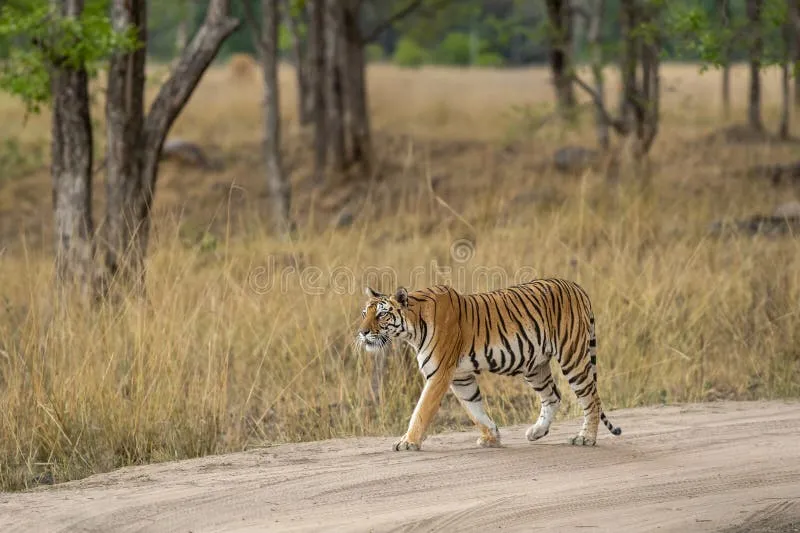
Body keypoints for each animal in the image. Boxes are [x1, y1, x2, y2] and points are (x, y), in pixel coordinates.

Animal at [358, 278, 624, 448]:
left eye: (381, 314)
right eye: (364, 313)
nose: (362, 332)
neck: (412, 329)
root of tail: (576, 287)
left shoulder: (439, 374)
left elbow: (421, 411)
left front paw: (407, 442)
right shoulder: (460, 377)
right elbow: (474, 408)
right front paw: (492, 437)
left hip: (572, 356)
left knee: (591, 398)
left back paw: (585, 438)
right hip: (535, 365)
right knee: (553, 396)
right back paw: (536, 432)